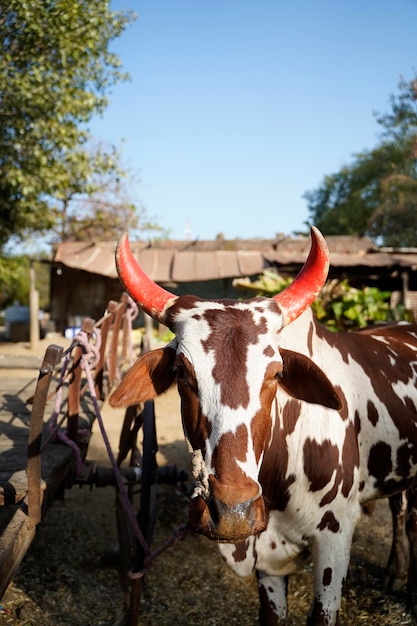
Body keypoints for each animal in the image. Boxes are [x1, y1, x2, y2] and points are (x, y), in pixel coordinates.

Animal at [109, 228, 417, 624]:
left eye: (275, 374)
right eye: (182, 372)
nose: (232, 513)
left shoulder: (336, 535)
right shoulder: (266, 560)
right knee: (400, 506)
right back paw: (396, 572)